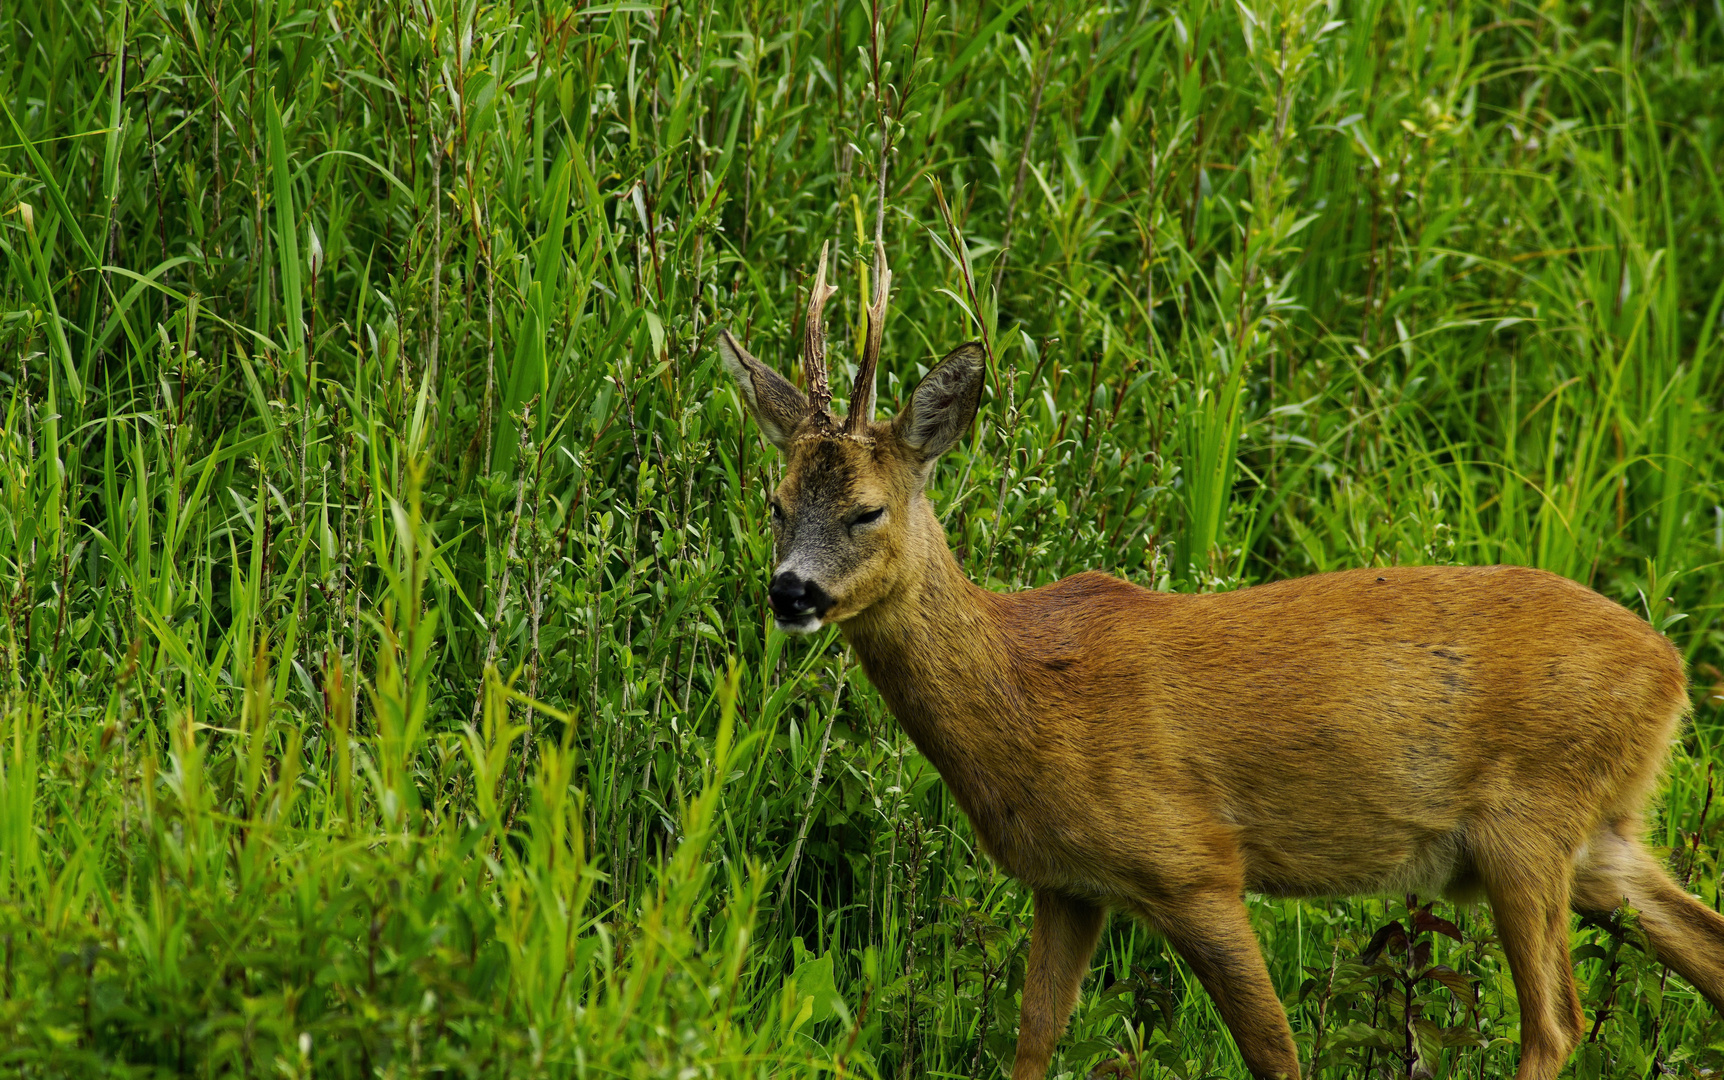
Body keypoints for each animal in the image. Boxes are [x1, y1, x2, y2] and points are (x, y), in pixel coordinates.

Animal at [717, 241, 1724, 1076]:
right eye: (773, 501)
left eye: (867, 511)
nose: (789, 592)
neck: (1029, 696)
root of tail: (1673, 670)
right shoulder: (1067, 885)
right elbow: (1034, 1041)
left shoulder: (1193, 862)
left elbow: (1276, 1052)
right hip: (1601, 836)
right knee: (1699, 946)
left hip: (1530, 821)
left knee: (1555, 1022)